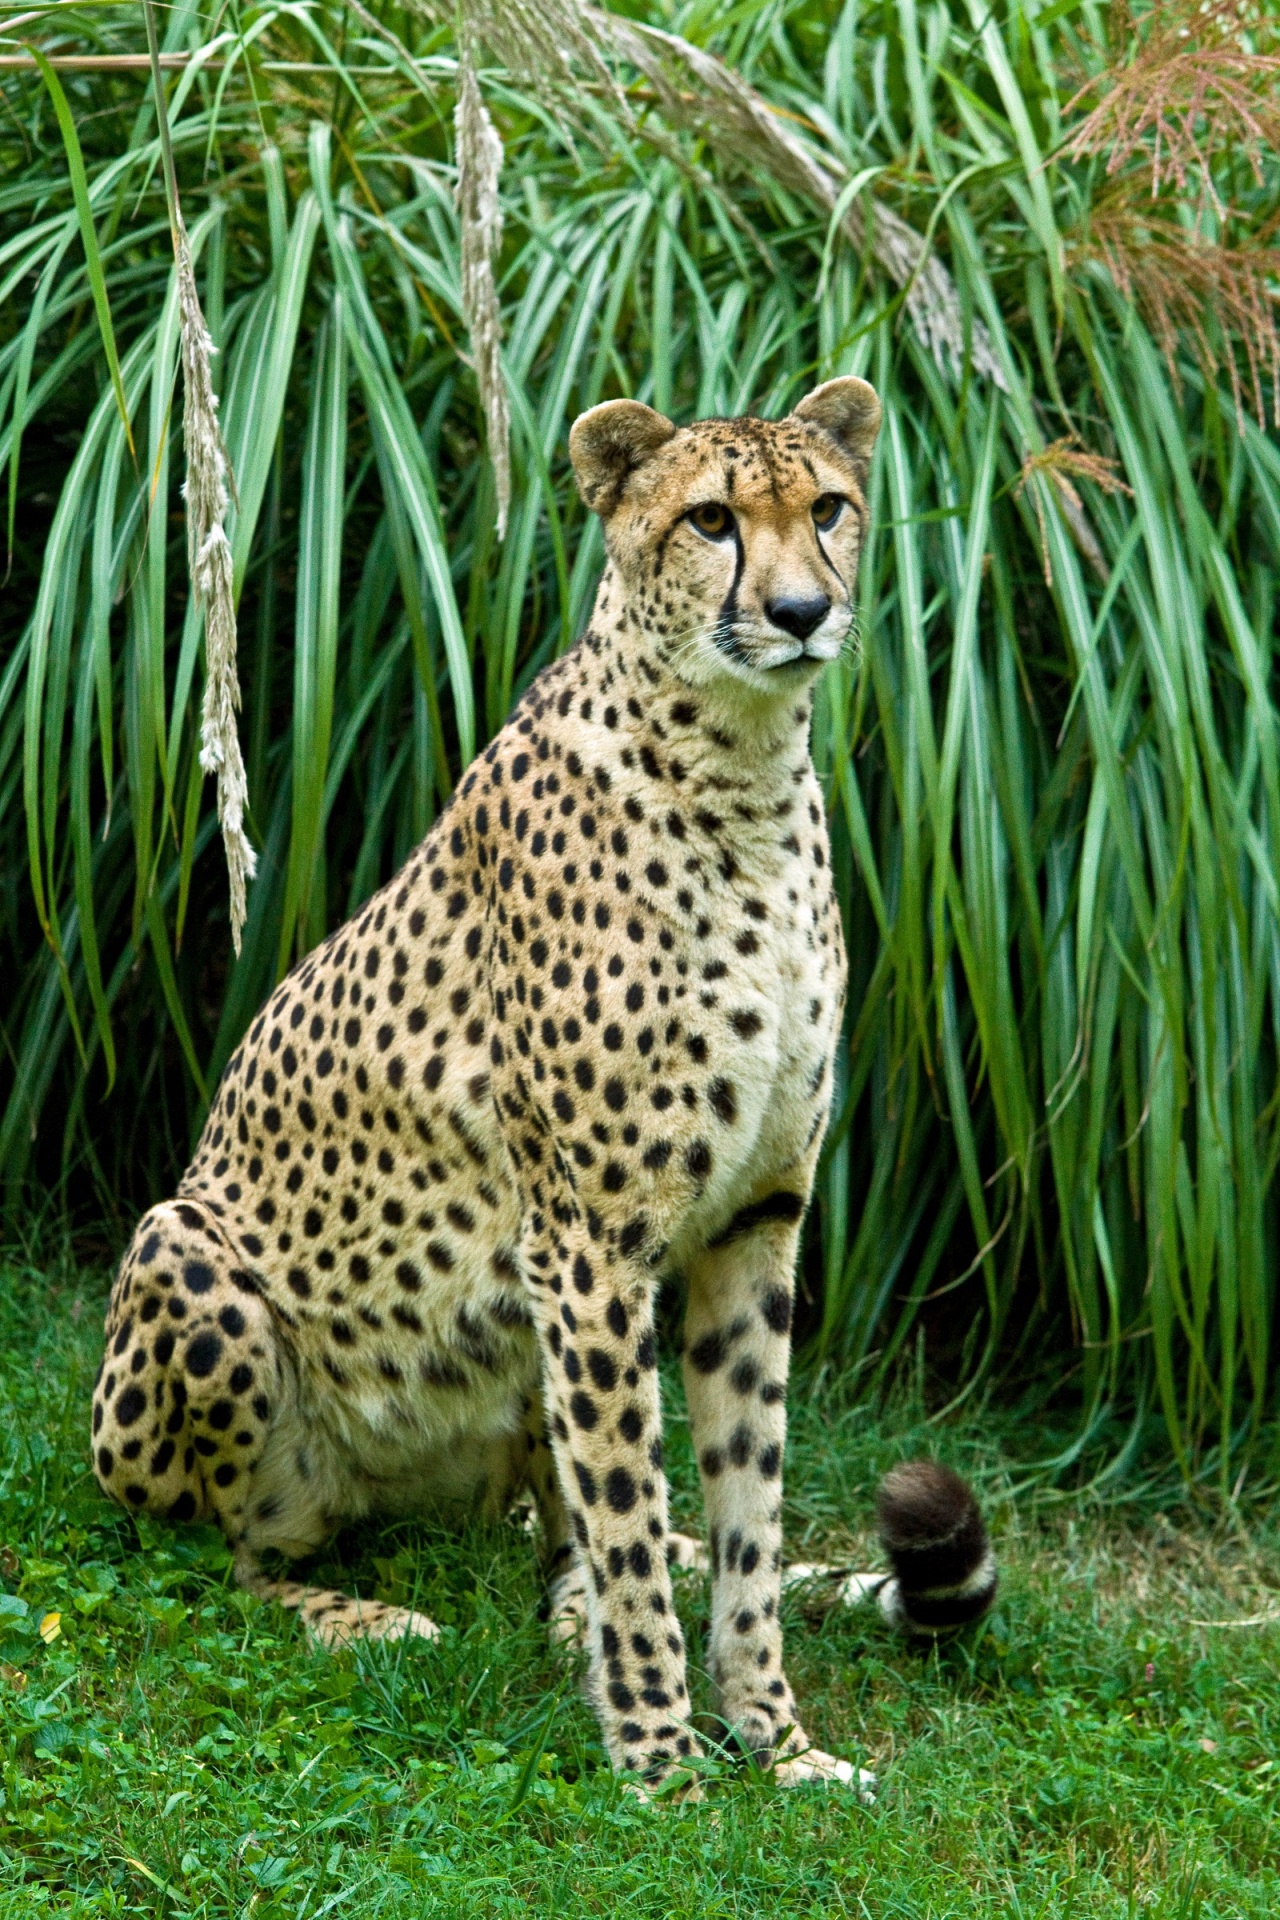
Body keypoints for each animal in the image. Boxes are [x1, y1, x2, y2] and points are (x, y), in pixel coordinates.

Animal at [94, 378, 997, 1797]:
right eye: (710, 520)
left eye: (829, 508)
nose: (803, 612)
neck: (740, 767)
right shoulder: (590, 1245)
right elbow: (633, 1515)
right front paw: (661, 1763)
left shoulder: (755, 1223)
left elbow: (741, 1506)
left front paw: (777, 1741)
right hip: (182, 1251)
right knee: (229, 1555)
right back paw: (354, 1612)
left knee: (550, 1531)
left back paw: (559, 1615)